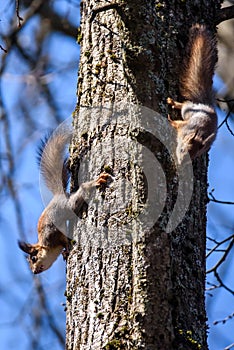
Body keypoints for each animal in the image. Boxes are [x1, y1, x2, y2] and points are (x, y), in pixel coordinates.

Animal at [18, 127, 109, 274]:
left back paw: (94, 183)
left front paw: (67, 247)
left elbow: (63, 238)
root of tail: (58, 196)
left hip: (68, 206)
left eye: (33, 258)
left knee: (80, 193)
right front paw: (64, 254)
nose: (34, 272)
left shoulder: (52, 234)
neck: (46, 245)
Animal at [167, 23, 217, 163]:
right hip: (188, 110)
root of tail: (207, 105)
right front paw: (170, 120)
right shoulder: (185, 126)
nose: (180, 163)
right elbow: (177, 124)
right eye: (182, 150)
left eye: (192, 157)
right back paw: (173, 102)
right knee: (184, 104)